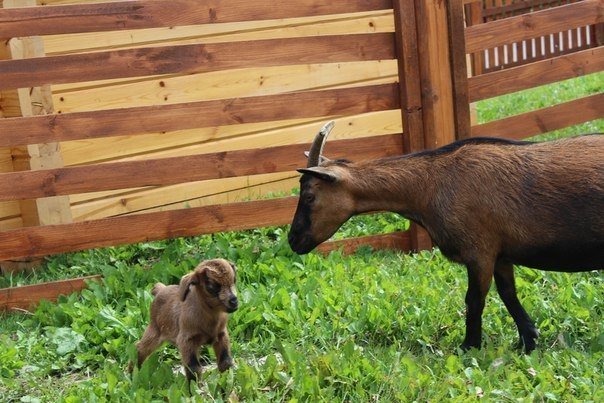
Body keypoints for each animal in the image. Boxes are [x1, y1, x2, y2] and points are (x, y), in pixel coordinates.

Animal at [290, 120, 604, 354]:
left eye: (309, 196)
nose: (294, 241)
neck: (432, 183)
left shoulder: (479, 251)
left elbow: (474, 299)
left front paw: (469, 346)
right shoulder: (500, 253)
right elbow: (508, 294)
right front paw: (528, 340)